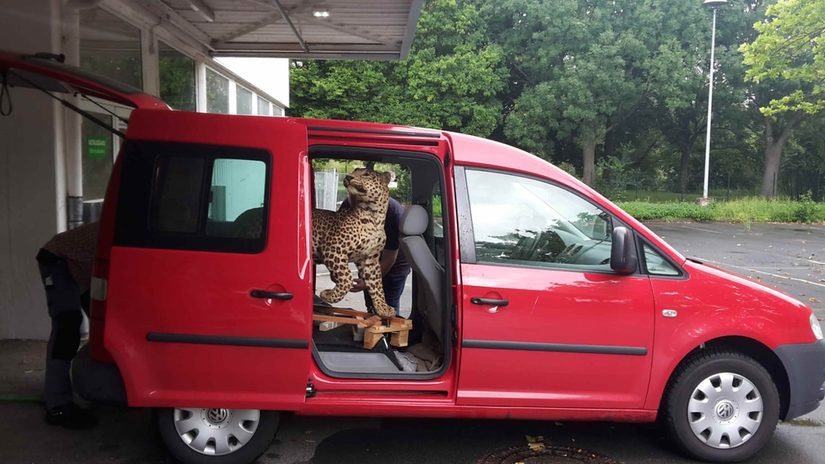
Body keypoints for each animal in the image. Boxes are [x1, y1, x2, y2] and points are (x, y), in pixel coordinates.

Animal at [312, 169, 396, 318]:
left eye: (366, 174)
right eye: (354, 171)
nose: (348, 176)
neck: (375, 217)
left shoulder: (371, 261)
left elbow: (377, 286)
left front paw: (383, 308)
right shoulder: (334, 250)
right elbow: (347, 278)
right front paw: (328, 295)